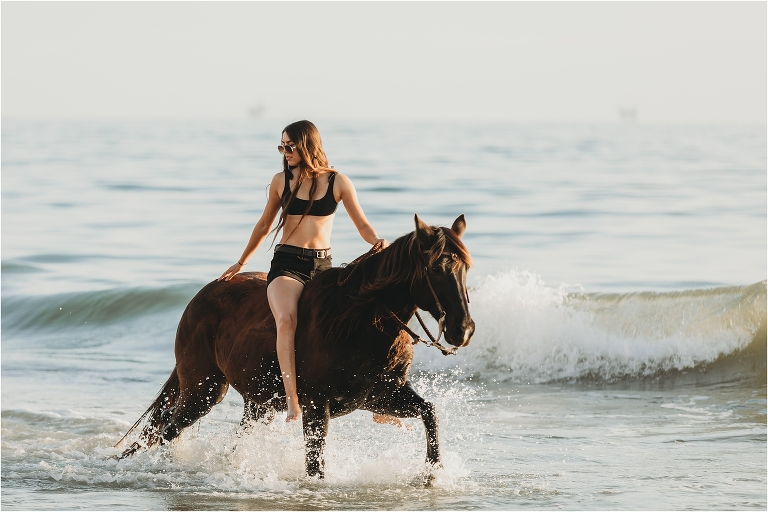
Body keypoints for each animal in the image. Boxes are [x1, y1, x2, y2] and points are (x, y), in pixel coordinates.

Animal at [116, 214, 474, 478]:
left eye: (466, 268)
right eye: (436, 268)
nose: (464, 330)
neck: (357, 323)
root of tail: (200, 298)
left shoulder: (381, 396)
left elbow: (430, 413)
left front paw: (432, 473)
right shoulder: (317, 406)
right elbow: (315, 466)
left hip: (257, 404)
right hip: (203, 392)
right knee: (168, 431)